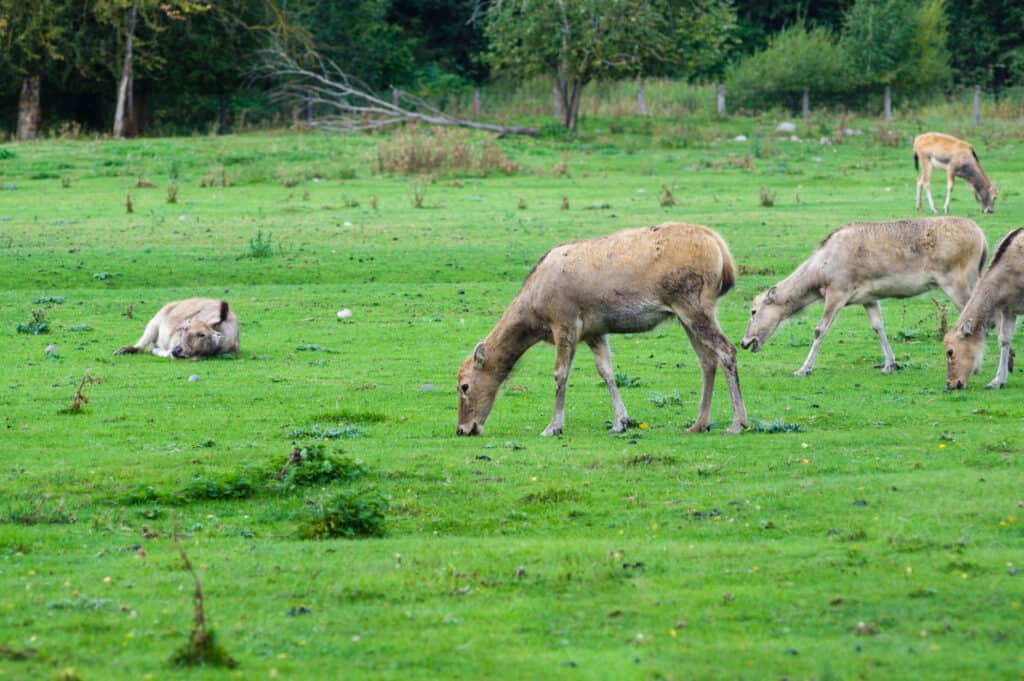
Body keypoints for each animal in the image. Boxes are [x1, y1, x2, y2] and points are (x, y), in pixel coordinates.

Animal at [454, 222, 745, 436]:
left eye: (464, 386)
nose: (463, 429)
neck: (535, 316)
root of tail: (723, 252)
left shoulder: (565, 321)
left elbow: (560, 374)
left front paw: (553, 427)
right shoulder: (594, 331)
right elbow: (606, 371)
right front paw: (621, 421)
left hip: (692, 303)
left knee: (727, 350)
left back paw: (737, 423)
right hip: (687, 314)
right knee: (707, 359)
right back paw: (699, 423)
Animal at [741, 216, 987, 374]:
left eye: (753, 311)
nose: (744, 342)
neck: (820, 274)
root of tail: (983, 238)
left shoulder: (838, 291)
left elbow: (820, 329)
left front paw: (803, 369)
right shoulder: (868, 298)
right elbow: (878, 326)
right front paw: (890, 364)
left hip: (955, 281)